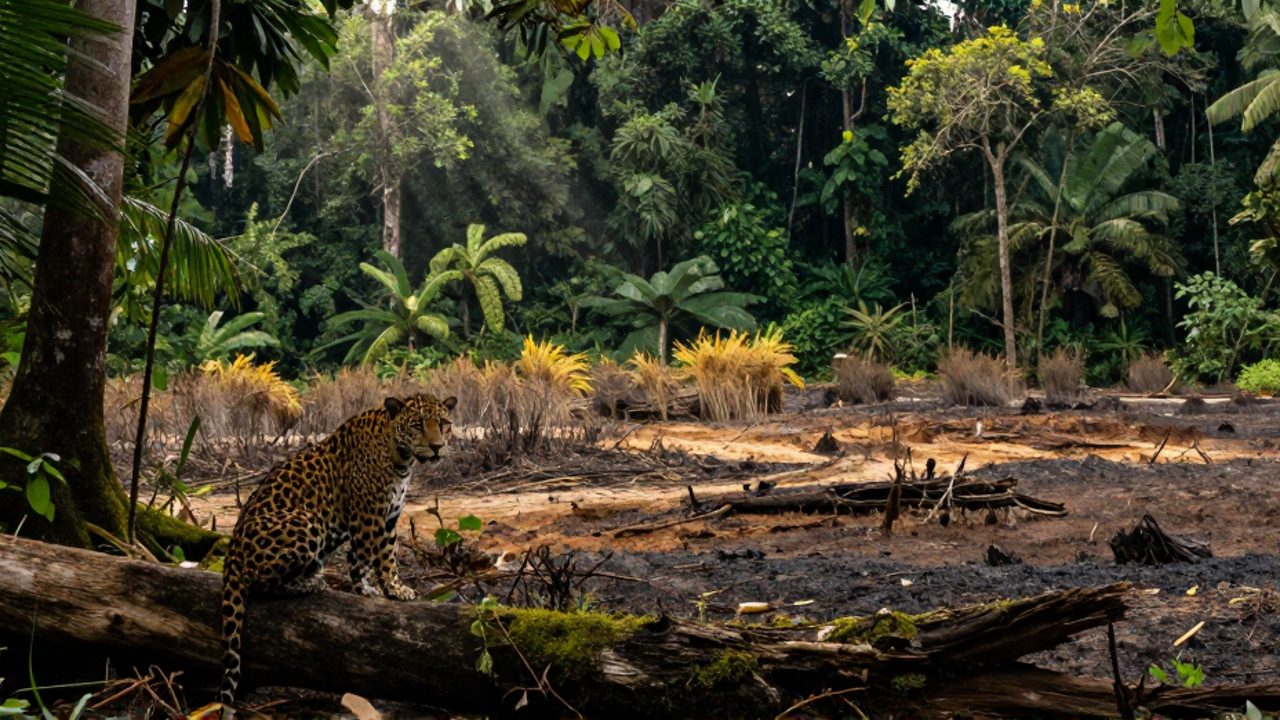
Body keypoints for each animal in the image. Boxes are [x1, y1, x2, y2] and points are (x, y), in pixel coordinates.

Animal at [217, 392, 456, 708]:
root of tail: (232, 547)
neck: (400, 456)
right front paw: (376, 590)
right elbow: (371, 557)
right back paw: (309, 584)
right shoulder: (368, 515)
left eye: (443, 423)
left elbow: (378, 557)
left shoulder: (389, 517)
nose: (437, 446)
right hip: (307, 522)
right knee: (260, 581)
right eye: (417, 424)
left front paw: (386, 589)